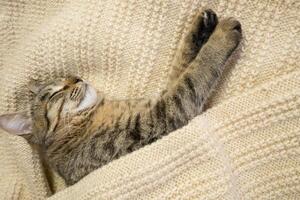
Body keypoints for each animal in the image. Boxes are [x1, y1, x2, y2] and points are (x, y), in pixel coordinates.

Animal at [0, 9, 241, 184]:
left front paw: (202, 26)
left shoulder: (160, 99)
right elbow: (197, 70)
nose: (77, 78)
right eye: (57, 92)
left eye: (68, 76)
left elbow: (181, 67)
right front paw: (222, 34)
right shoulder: (163, 113)